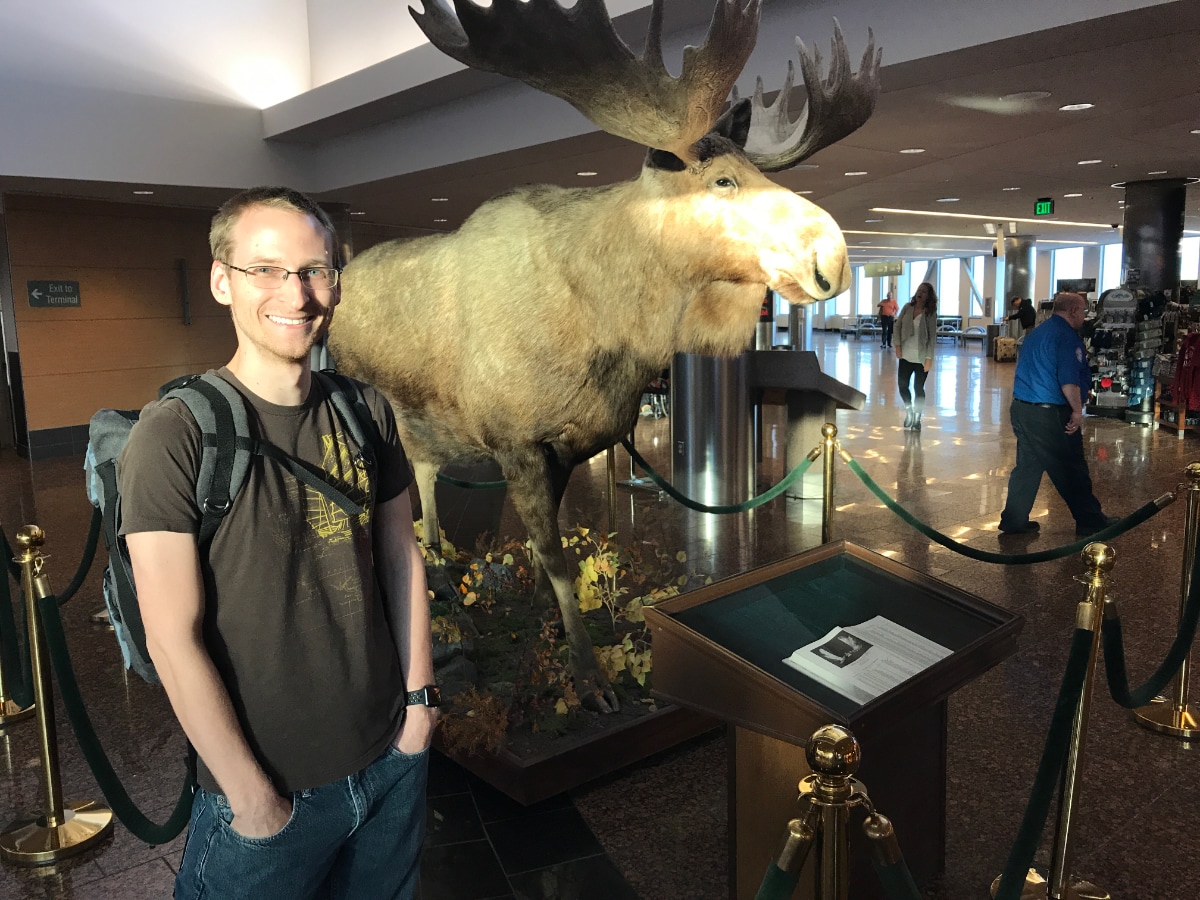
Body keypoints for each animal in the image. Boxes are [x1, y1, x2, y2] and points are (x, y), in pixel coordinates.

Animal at [328, 0, 883, 710]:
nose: (833, 260)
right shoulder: (517, 442)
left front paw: (539, 621)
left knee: (424, 477)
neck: (611, 332)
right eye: (723, 180)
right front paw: (588, 676)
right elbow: (556, 555)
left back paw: (448, 579)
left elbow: (544, 560)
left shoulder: (569, 445)